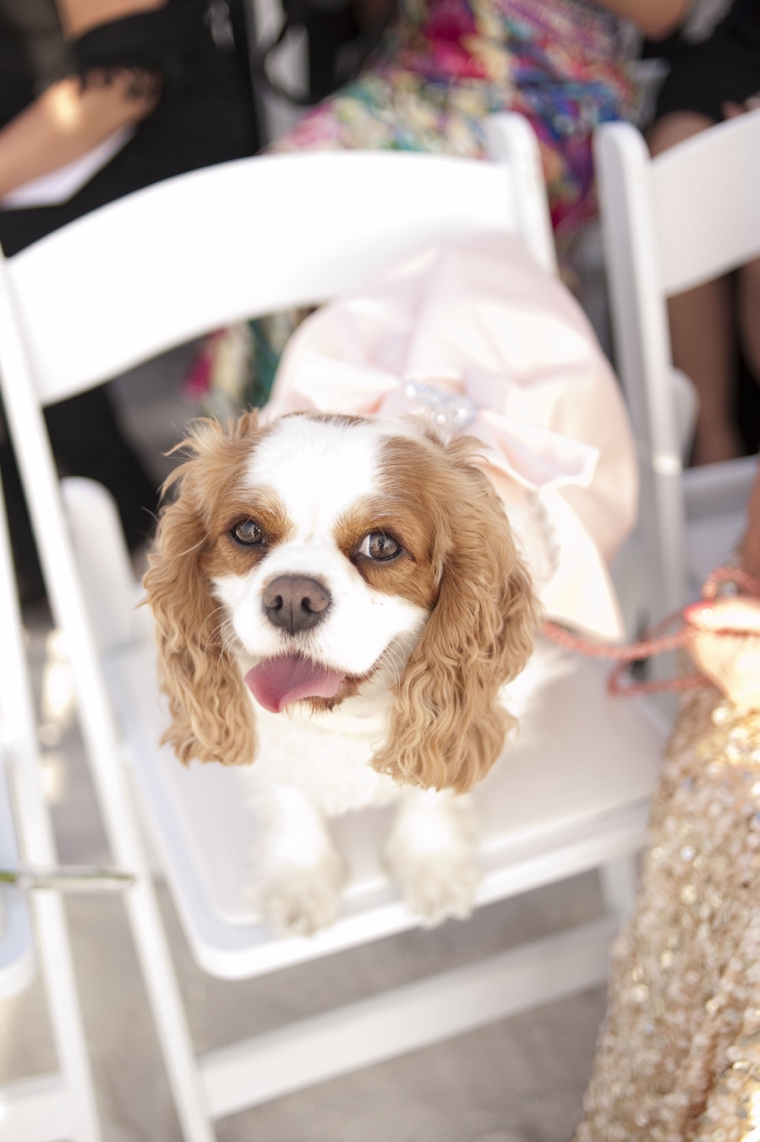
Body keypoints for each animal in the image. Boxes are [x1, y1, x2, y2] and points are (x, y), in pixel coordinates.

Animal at [142, 411, 532, 936]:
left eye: (382, 545)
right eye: (247, 531)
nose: (291, 598)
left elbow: (431, 780)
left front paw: (431, 862)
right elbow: (287, 790)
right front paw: (299, 875)